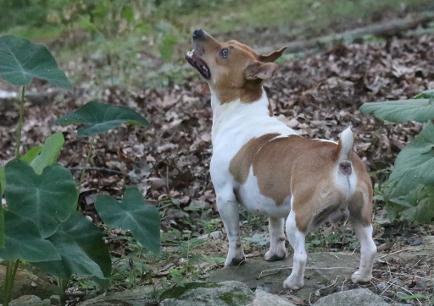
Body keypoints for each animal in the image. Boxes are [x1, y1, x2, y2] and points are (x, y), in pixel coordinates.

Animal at [186, 29, 376, 290]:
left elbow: (233, 235)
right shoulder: (273, 203)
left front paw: (234, 260)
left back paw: (293, 282)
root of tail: (340, 156)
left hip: (297, 221)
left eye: (224, 52)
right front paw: (275, 254)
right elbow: (274, 229)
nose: (198, 31)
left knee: (302, 255)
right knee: (370, 248)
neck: (241, 111)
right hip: (360, 215)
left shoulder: (224, 196)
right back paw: (362, 276)